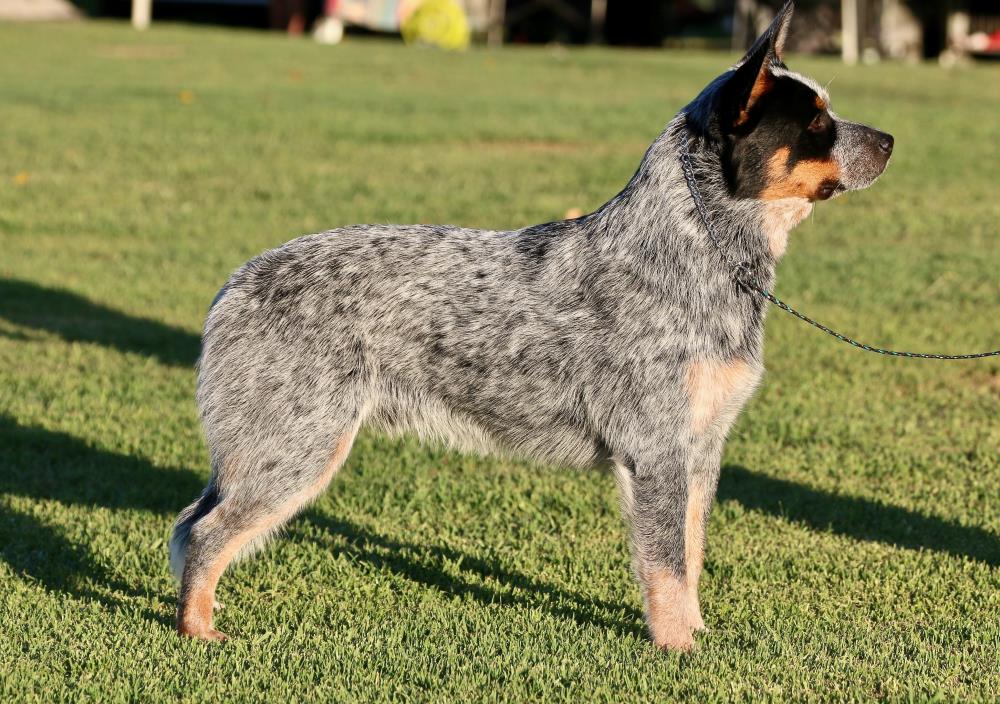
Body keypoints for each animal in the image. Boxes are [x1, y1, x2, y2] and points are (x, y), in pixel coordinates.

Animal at [170, 0, 892, 650]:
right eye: (816, 121)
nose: (890, 140)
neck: (694, 252)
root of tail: (235, 284)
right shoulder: (657, 451)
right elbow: (665, 566)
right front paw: (679, 650)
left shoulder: (701, 450)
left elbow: (689, 557)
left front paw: (697, 634)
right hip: (297, 449)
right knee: (203, 534)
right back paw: (197, 630)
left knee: (189, 524)